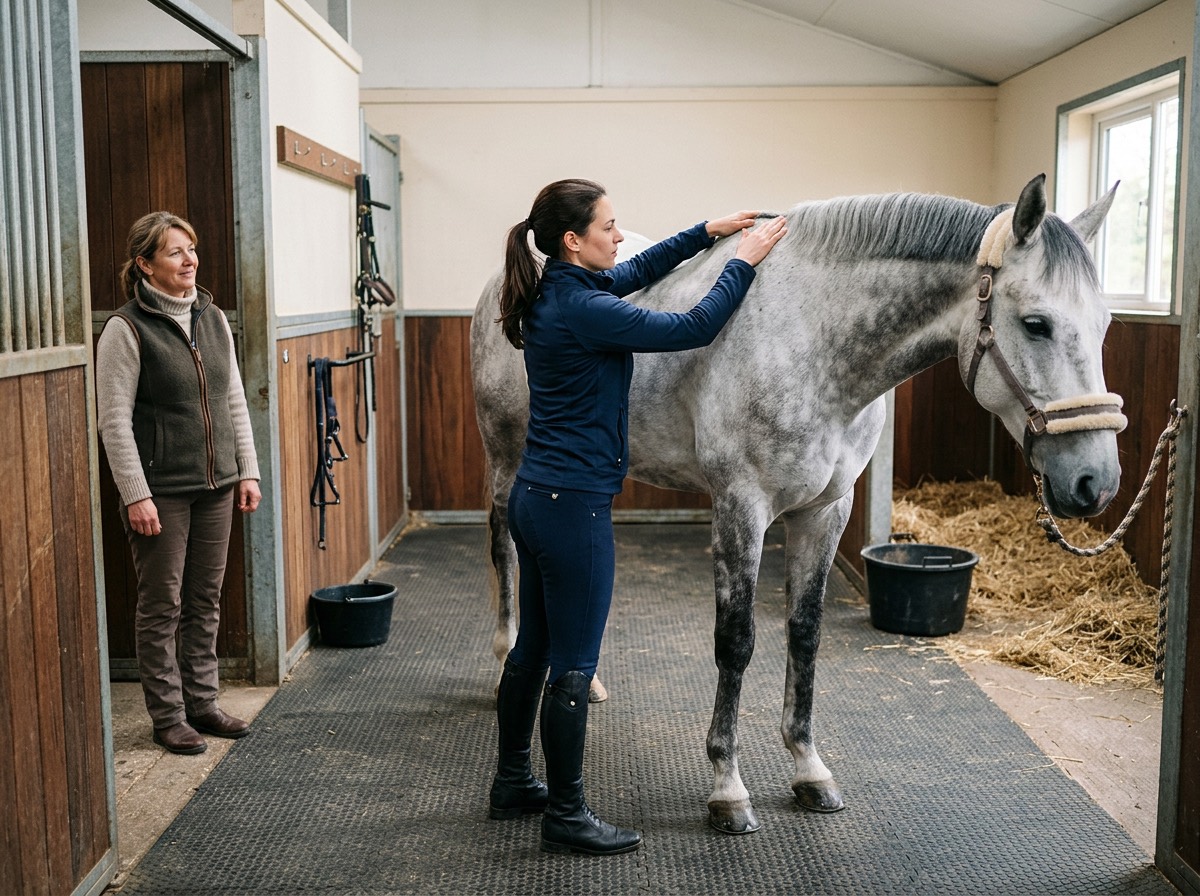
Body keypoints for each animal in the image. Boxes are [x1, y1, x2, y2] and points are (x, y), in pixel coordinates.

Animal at [469, 174, 1124, 834]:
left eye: (1105, 324)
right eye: (1036, 323)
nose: (1095, 481)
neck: (814, 339)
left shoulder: (826, 512)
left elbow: (804, 635)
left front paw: (809, 769)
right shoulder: (741, 507)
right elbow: (735, 642)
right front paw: (727, 787)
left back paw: (592, 680)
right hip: (505, 457)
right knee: (506, 548)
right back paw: (503, 661)